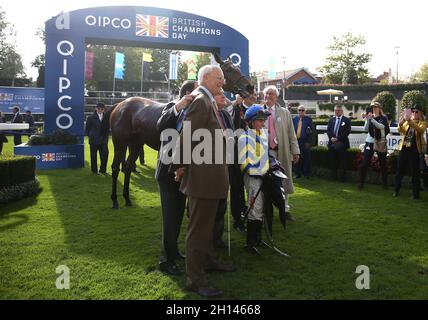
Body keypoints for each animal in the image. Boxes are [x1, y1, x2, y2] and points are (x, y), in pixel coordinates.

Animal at [106, 54, 254, 210]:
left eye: (237, 68)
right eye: (229, 70)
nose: (250, 87)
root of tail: (119, 105)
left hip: (136, 144)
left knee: (128, 167)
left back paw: (127, 198)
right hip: (120, 143)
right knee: (115, 168)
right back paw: (115, 200)